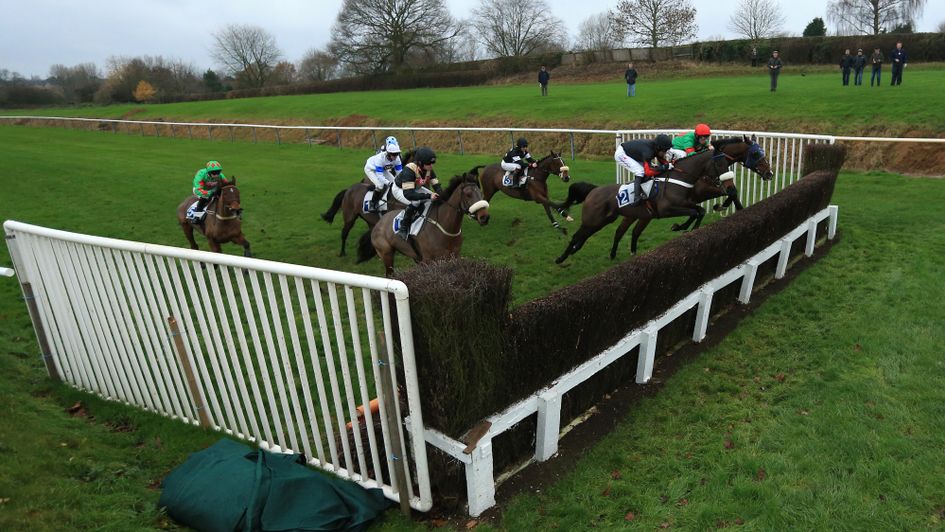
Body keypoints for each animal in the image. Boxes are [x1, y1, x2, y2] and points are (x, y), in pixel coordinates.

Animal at [358, 171, 490, 278]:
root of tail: (378, 224)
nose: (484, 217)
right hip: (386, 254)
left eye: (480, 193)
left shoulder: (453, 257)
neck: (445, 227)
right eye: (468, 194)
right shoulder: (429, 261)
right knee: (389, 275)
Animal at [556, 135, 772, 264]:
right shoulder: (669, 208)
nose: (769, 173)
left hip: (626, 217)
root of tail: (594, 191)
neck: (685, 176)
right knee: (578, 236)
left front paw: (689, 226)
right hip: (594, 220)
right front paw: (683, 227)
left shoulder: (689, 201)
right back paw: (562, 257)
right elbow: (698, 210)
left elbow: (701, 210)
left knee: (620, 232)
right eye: (755, 153)